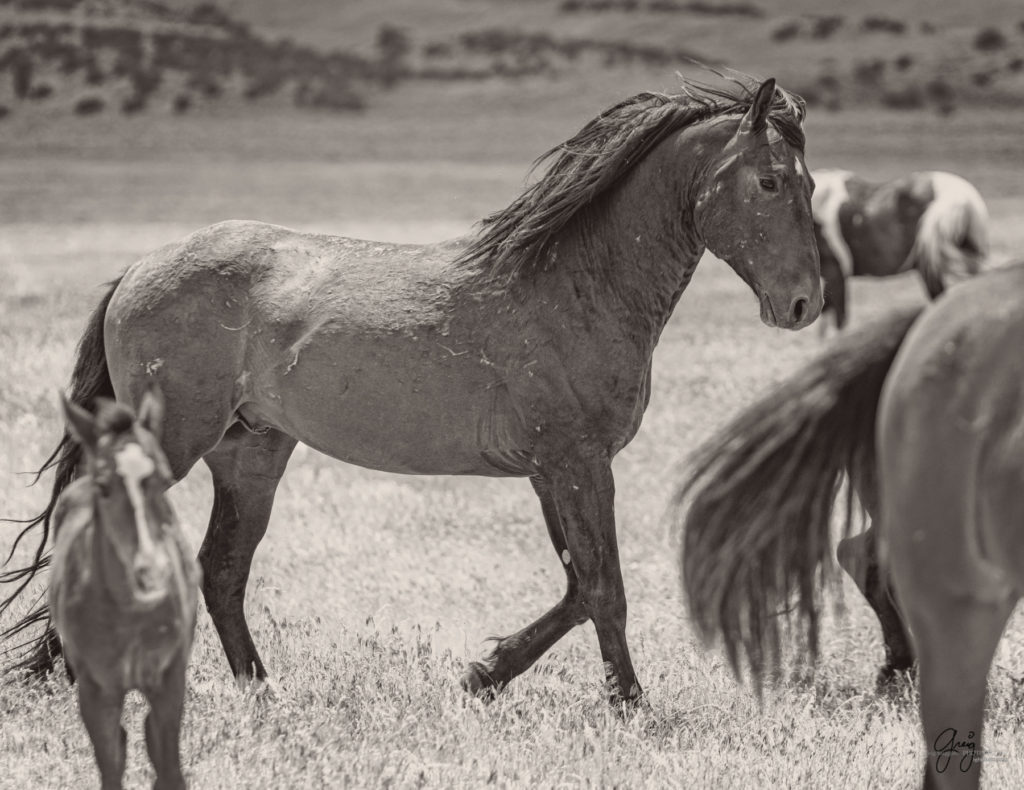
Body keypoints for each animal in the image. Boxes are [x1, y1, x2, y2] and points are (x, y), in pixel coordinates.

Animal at [0, 75, 823, 704]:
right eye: (771, 181)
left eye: (812, 184)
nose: (805, 304)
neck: (576, 285)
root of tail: (138, 268)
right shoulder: (579, 466)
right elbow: (602, 588)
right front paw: (628, 704)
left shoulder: (551, 473)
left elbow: (576, 589)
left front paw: (484, 675)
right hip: (172, 442)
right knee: (98, 528)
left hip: (250, 454)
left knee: (221, 570)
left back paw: (260, 691)